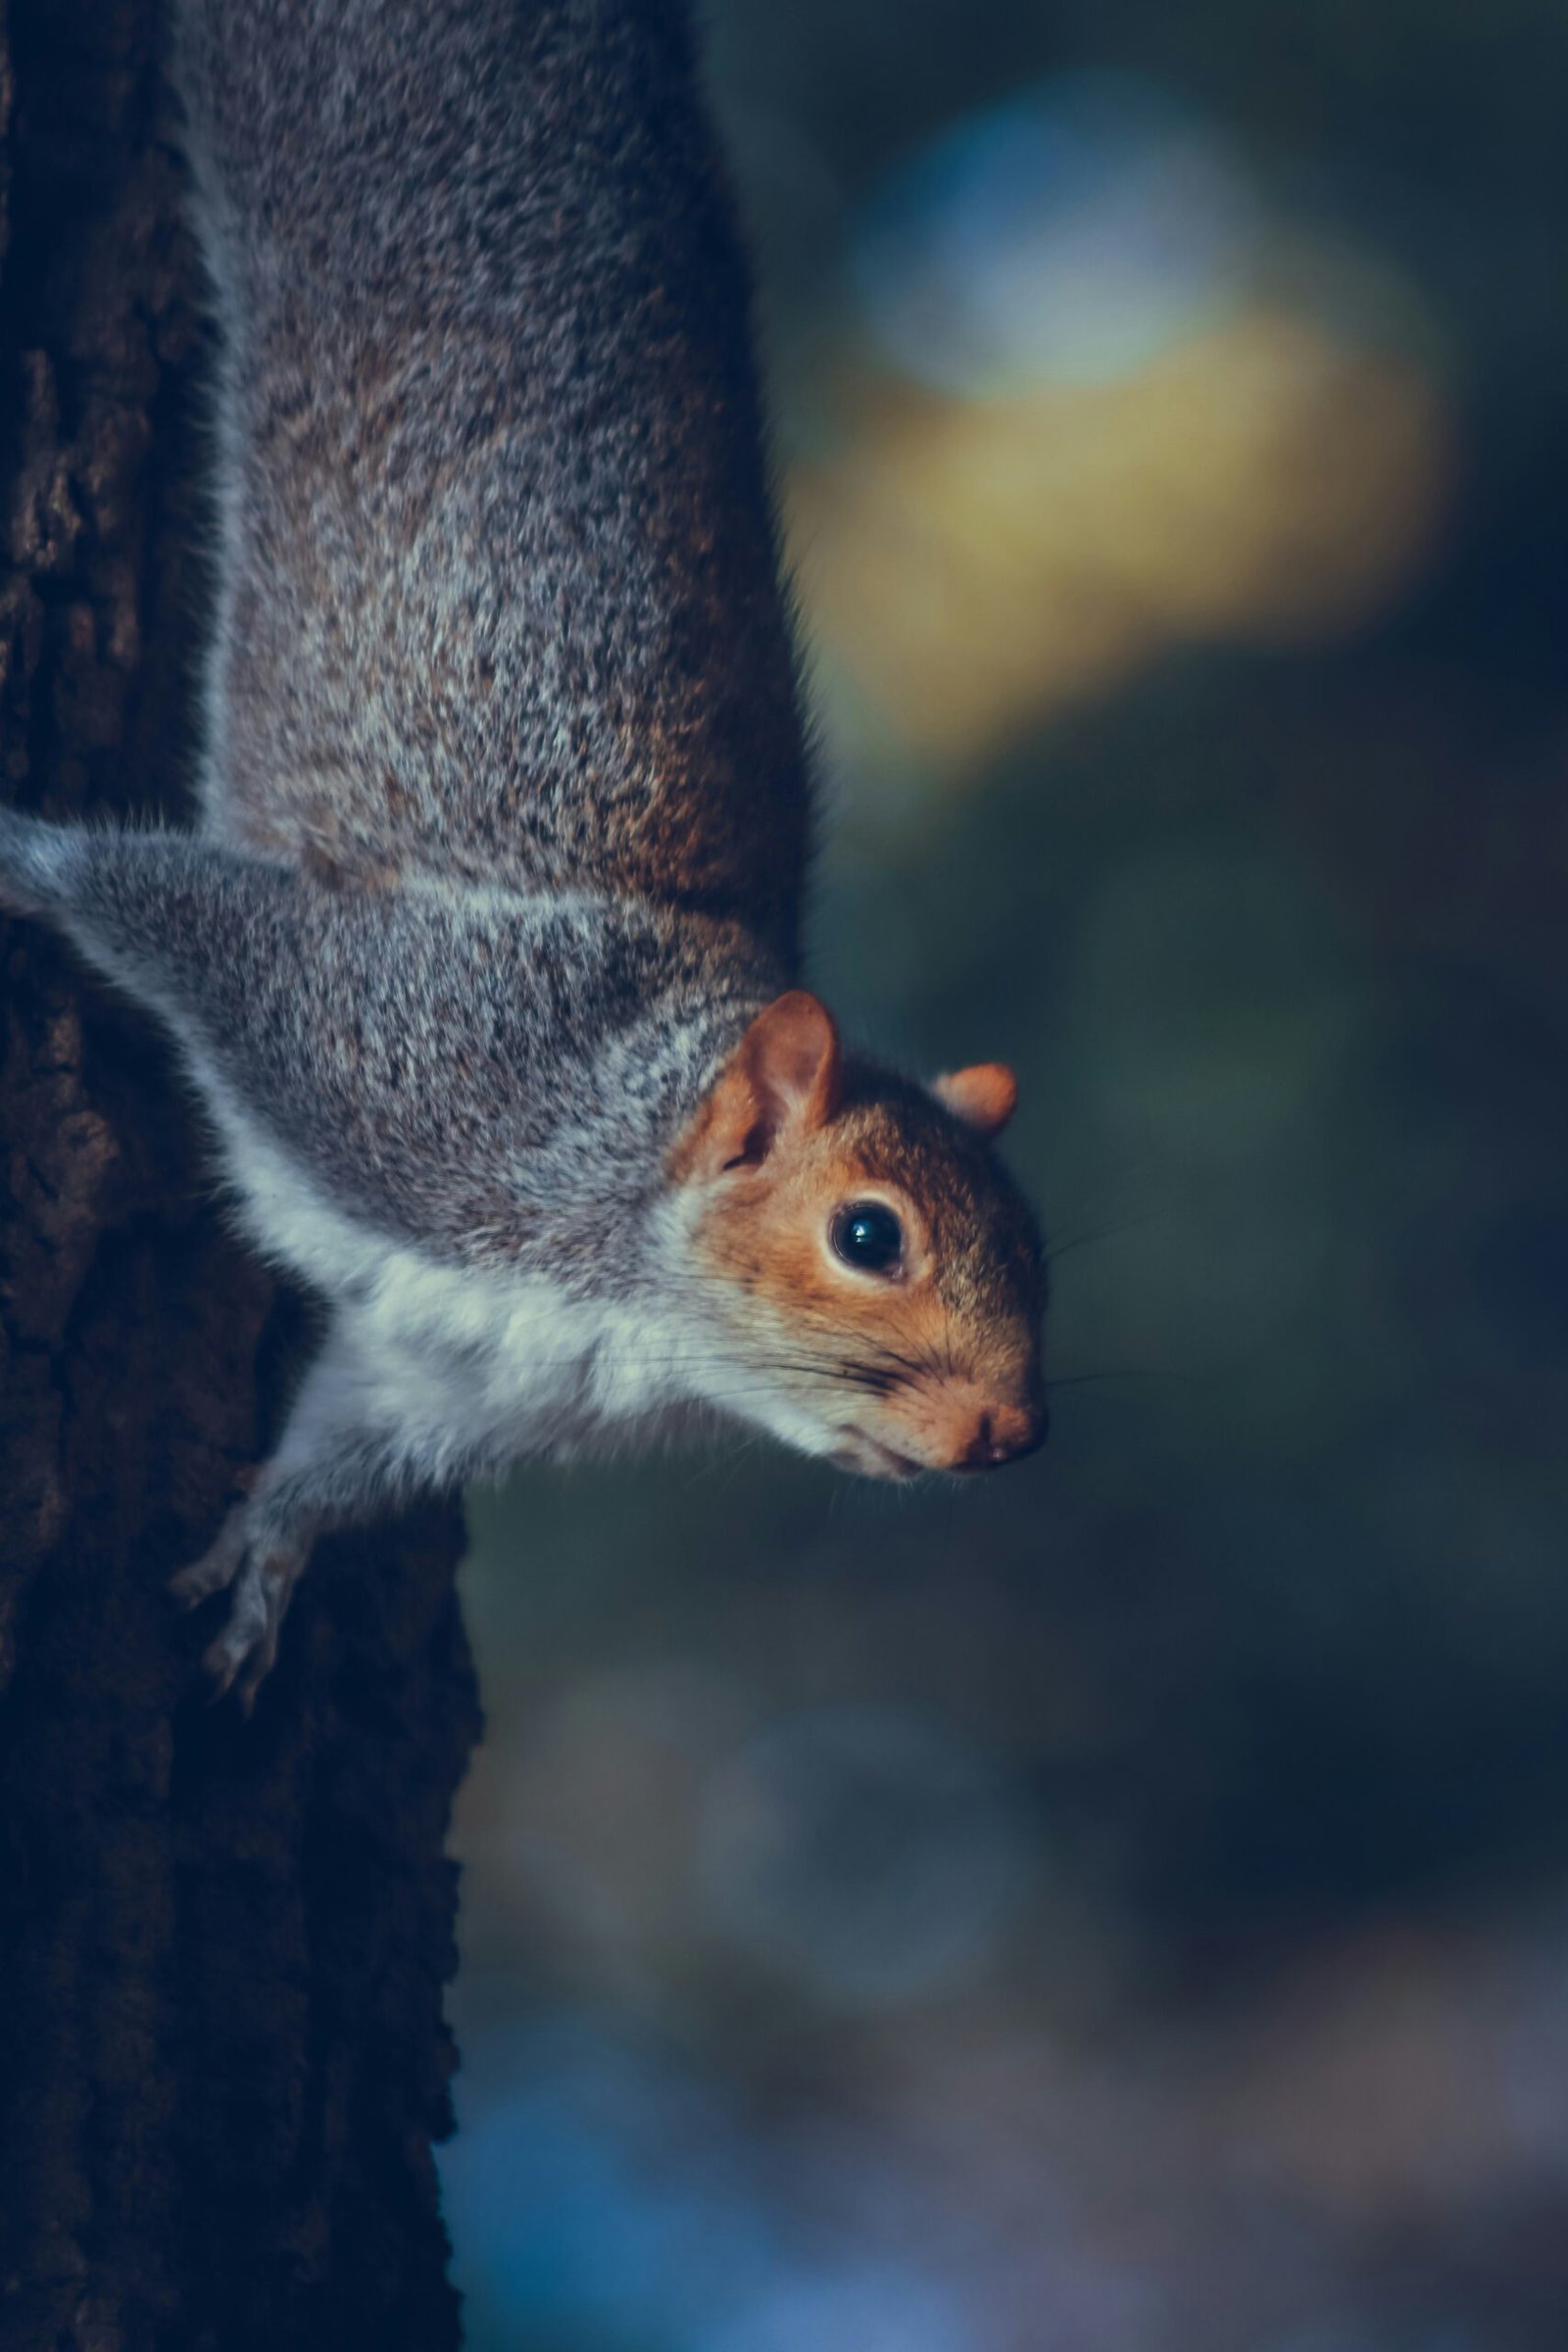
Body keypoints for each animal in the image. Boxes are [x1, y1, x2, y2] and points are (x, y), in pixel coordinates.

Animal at [3, 0, 1053, 1702]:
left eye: (1038, 1243)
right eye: (869, 1235)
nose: (1013, 1435)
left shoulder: (447, 1376)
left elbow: (339, 1442)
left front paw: (262, 1565)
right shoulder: (393, 1049)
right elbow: (156, 899)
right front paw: (14, 846)